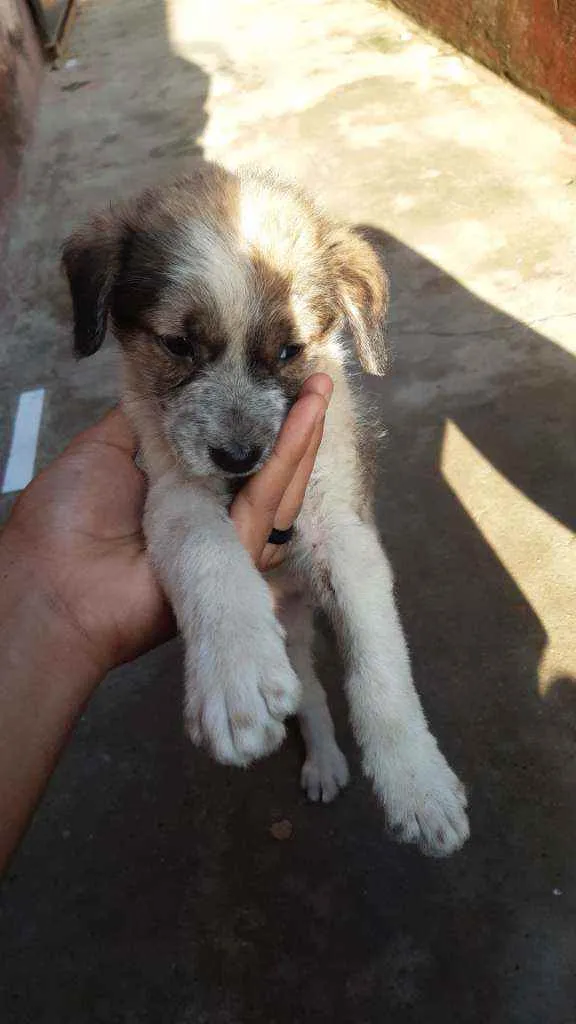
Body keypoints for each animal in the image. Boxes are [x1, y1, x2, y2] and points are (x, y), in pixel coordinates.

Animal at [61, 165, 467, 856]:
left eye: (288, 352)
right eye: (178, 345)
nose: (238, 458)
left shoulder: (344, 534)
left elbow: (379, 664)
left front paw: (417, 780)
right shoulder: (170, 489)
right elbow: (204, 547)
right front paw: (235, 673)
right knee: (311, 691)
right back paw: (324, 761)